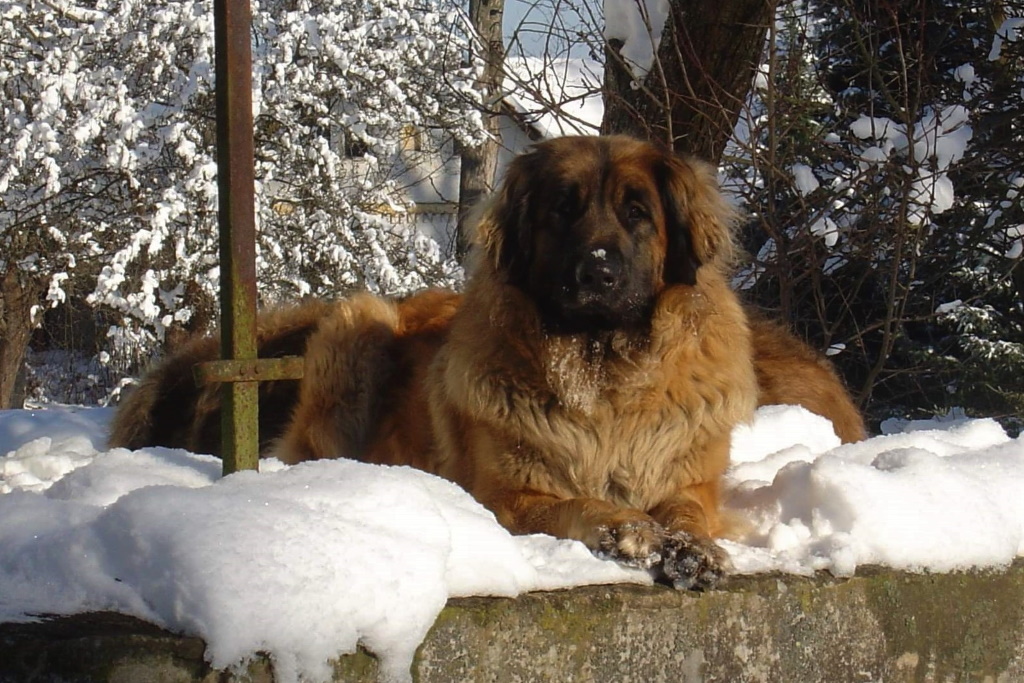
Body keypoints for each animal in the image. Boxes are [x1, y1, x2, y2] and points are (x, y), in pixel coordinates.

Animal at [112, 136, 864, 589]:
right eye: (563, 210)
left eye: (637, 213)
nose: (598, 270)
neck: (605, 376)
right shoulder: (507, 493)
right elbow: (582, 504)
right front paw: (625, 529)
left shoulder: (690, 479)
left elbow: (688, 512)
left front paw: (692, 549)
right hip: (358, 326)